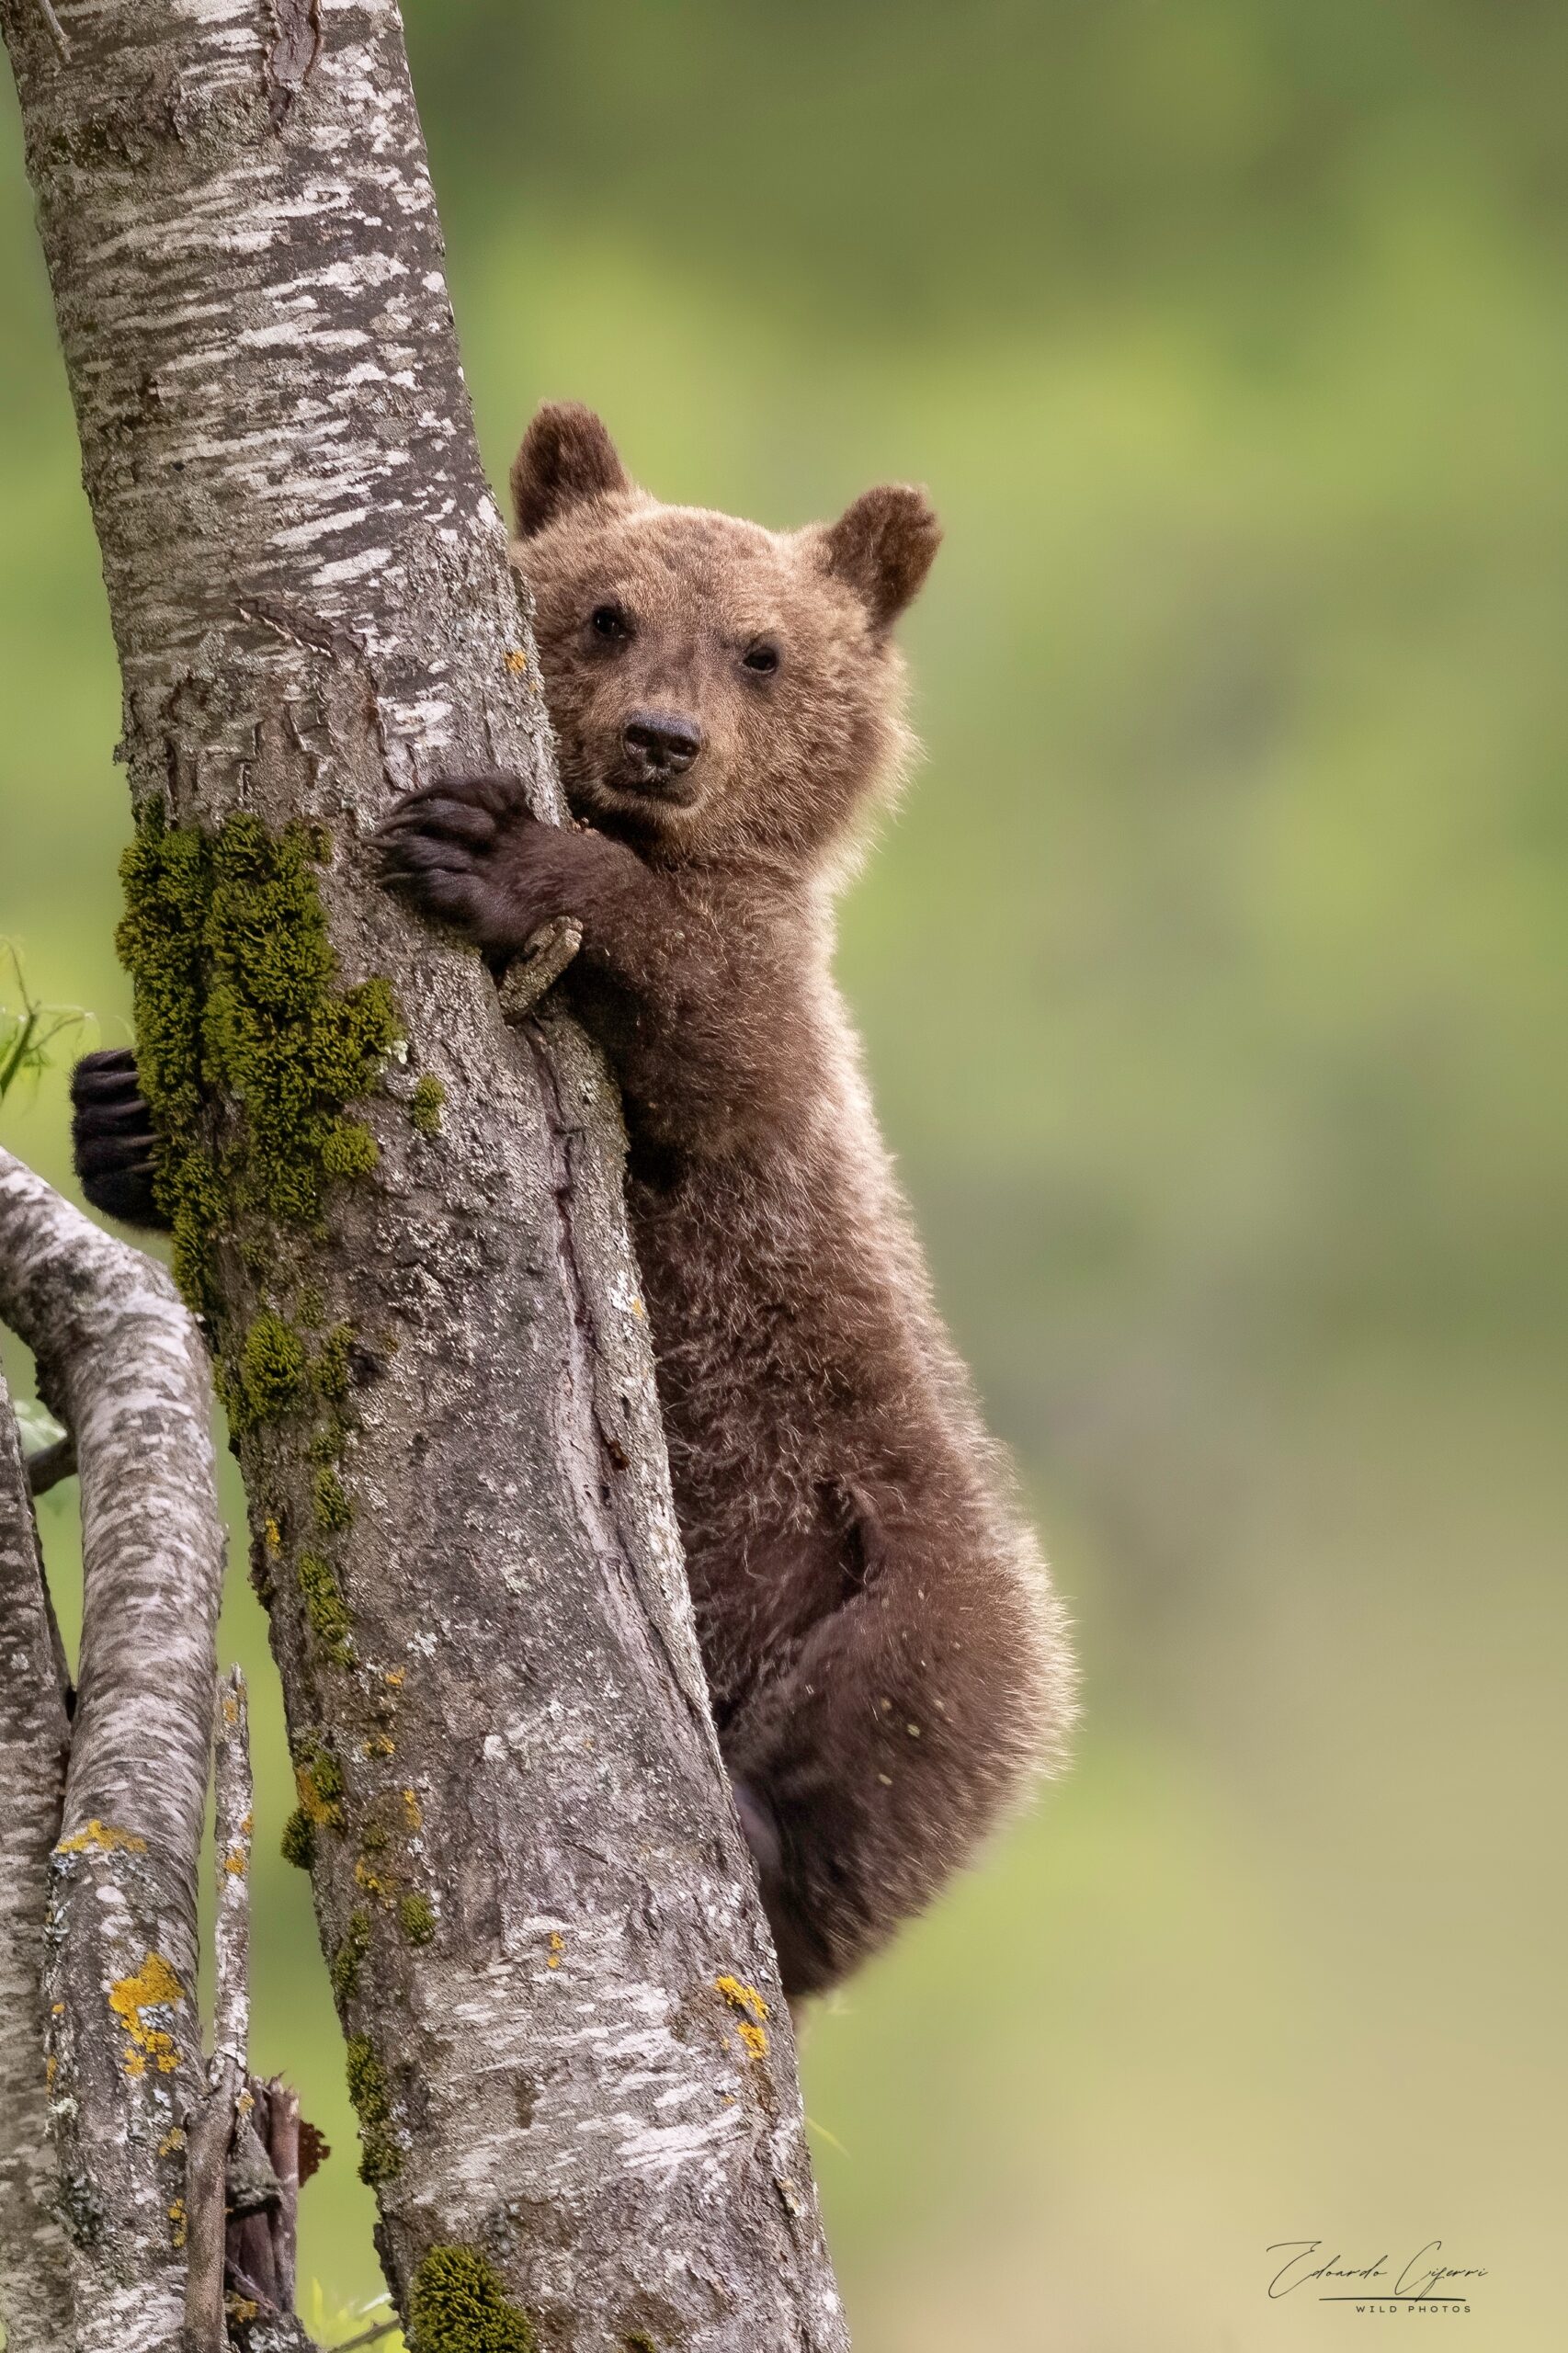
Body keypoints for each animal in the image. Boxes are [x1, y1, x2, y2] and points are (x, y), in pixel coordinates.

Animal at [73, 404, 1073, 1998]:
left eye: (760, 649)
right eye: (608, 613)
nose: (659, 741)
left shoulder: (774, 1049)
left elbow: (717, 1031)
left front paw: (503, 853)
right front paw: (120, 1113)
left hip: (913, 1558)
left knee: (900, 1721)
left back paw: (767, 1835)